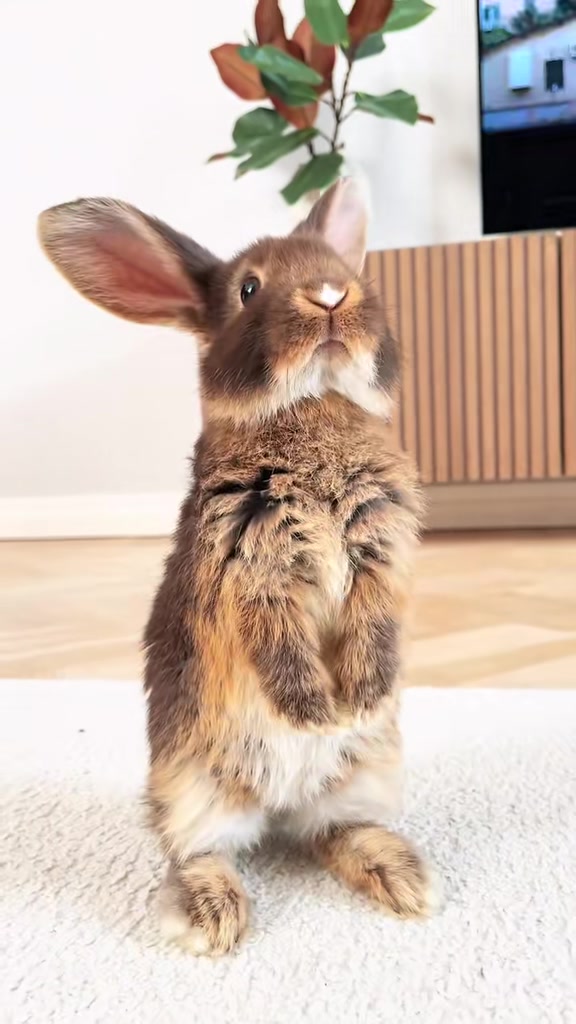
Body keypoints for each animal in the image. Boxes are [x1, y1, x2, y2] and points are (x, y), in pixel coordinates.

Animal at [37, 178, 440, 956]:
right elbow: (276, 643)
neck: (314, 405)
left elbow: (377, 623)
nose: (329, 294)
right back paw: (213, 919)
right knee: (199, 851)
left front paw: (361, 697)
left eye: (342, 271)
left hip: (368, 774)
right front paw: (315, 711)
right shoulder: (251, 569)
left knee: (336, 832)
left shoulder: (380, 554)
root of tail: (280, 807)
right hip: (190, 786)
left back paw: (405, 881)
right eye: (250, 288)